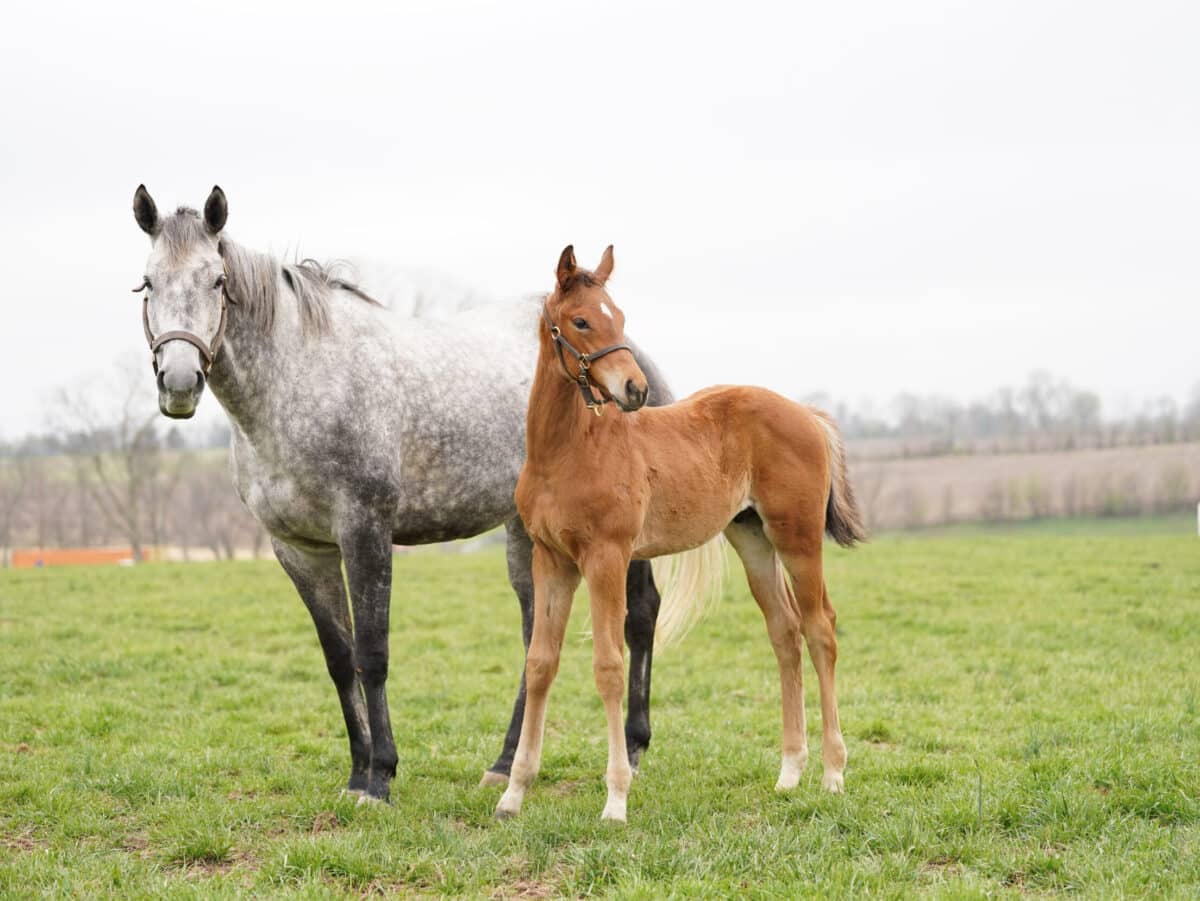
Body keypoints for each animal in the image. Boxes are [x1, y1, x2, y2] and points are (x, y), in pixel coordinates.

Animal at [130, 183, 696, 801]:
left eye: (217, 281)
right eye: (147, 282)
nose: (179, 382)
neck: (304, 380)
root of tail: (636, 364)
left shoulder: (366, 532)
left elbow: (372, 655)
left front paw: (380, 777)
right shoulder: (298, 549)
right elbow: (339, 659)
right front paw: (357, 771)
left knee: (638, 616)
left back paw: (633, 750)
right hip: (526, 532)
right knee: (537, 637)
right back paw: (505, 764)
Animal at [492, 247, 868, 825]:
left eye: (619, 316)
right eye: (581, 321)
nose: (635, 389)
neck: (569, 450)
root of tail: (805, 413)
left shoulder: (607, 556)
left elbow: (608, 665)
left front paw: (616, 799)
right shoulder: (551, 559)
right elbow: (539, 664)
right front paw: (513, 793)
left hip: (798, 537)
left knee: (820, 629)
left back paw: (831, 774)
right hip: (752, 538)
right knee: (784, 631)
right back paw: (789, 773)